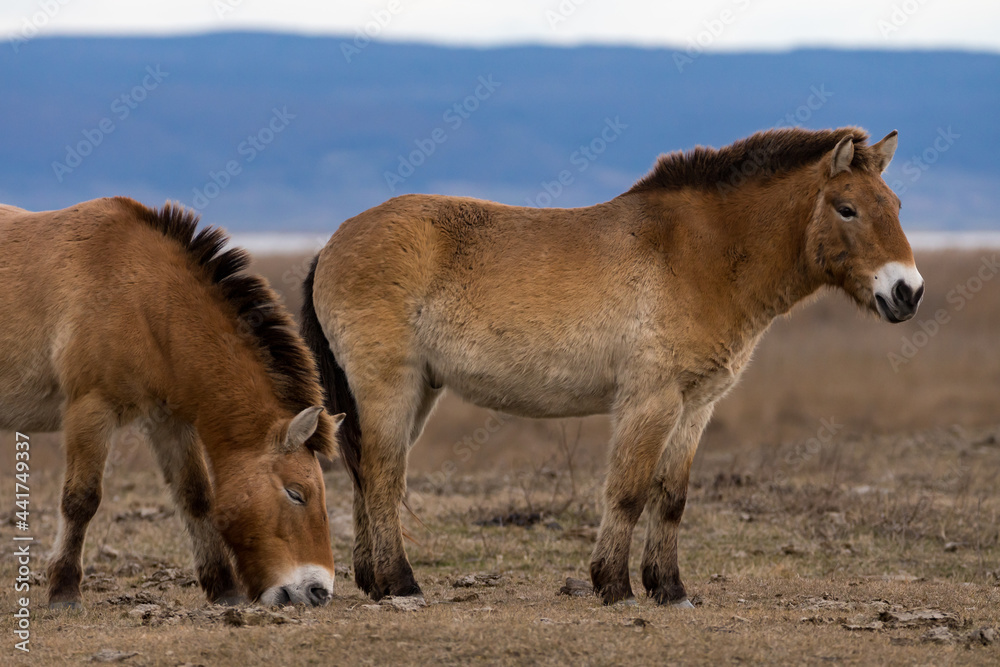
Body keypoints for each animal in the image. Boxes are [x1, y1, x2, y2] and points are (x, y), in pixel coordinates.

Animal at [0, 197, 343, 608]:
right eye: (296, 493)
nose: (318, 591)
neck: (141, 297)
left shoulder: (168, 420)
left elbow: (196, 497)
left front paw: (225, 590)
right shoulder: (91, 409)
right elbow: (81, 499)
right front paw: (64, 591)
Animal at [300, 127, 924, 606]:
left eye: (895, 207)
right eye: (847, 209)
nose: (908, 292)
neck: (701, 254)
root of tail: (333, 243)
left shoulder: (695, 406)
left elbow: (671, 498)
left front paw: (670, 590)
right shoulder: (650, 401)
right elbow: (627, 491)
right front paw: (615, 587)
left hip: (418, 392)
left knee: (366, 472)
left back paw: (373, 581)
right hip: (390, 386)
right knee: (383, 473)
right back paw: (401, 583)